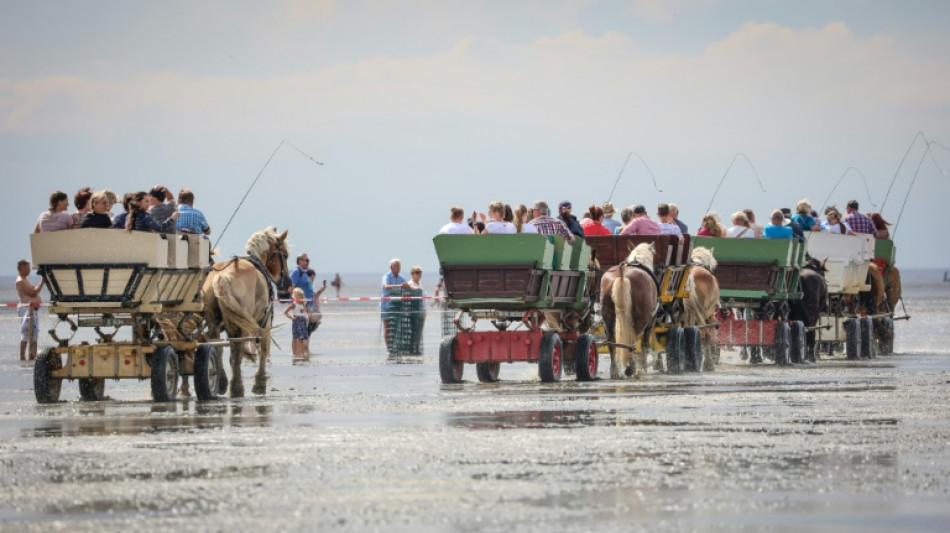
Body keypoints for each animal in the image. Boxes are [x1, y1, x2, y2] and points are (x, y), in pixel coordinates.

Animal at [201, 224, 290, 394]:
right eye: (286, 255)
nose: (287, 283)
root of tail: (222, 276)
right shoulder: (265, 321)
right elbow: (263, 348)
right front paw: (260, 382)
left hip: (214, 319)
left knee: (218, 345)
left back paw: (222, 381)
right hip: (241, 321)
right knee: (236, 349)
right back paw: (236, 387)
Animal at [600, 243, 660, 376]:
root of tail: (622, 275)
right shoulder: (650, 323)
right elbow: (644, 344)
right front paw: (643, 368)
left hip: (608, 317)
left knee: (611, 341)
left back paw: (614, 371)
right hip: (641, 320)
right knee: (632, 342)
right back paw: (632, 368)